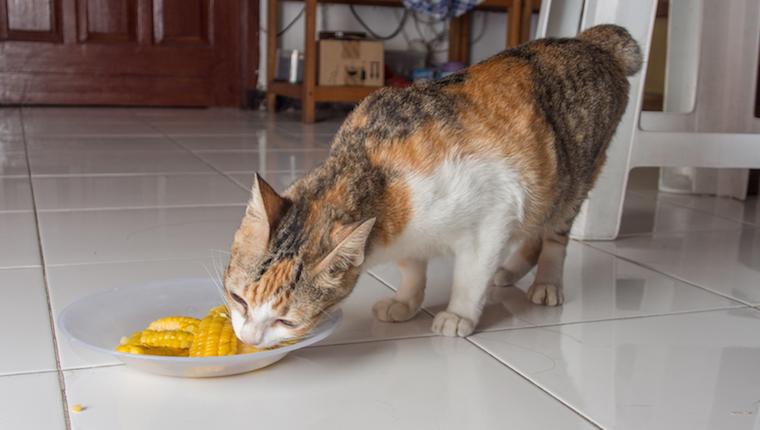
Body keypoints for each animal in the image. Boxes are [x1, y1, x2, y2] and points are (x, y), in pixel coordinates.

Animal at [224, 23, 640, 348]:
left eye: (286, 321)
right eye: (238, 298)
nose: (248, 340)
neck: (373, 167)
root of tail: (593, 41)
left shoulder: (495, 213)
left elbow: (471, 274)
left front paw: (458, 314)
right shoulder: (406, 233)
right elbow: (413, 267)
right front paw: (406, 302)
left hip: (574, 176)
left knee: (555, 235)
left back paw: (546, 282)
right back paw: (510, 272)